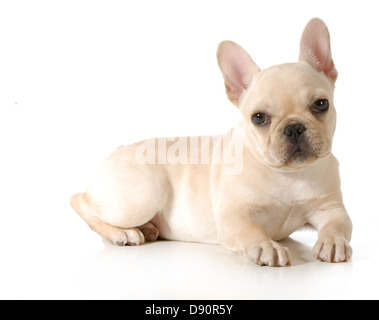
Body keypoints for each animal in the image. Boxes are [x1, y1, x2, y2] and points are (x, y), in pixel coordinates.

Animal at [70, 18, 354, 266]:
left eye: (321, 104)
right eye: (259, 118)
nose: (294, 128)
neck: (288, 175)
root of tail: (112, 154)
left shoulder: (331, 208)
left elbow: (338, 224)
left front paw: (333, 242)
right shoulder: (234, 217)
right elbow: (253, 231)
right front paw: (267, 247)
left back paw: (147, 229)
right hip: (143, 194)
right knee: (81, 201)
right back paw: (123, 233)